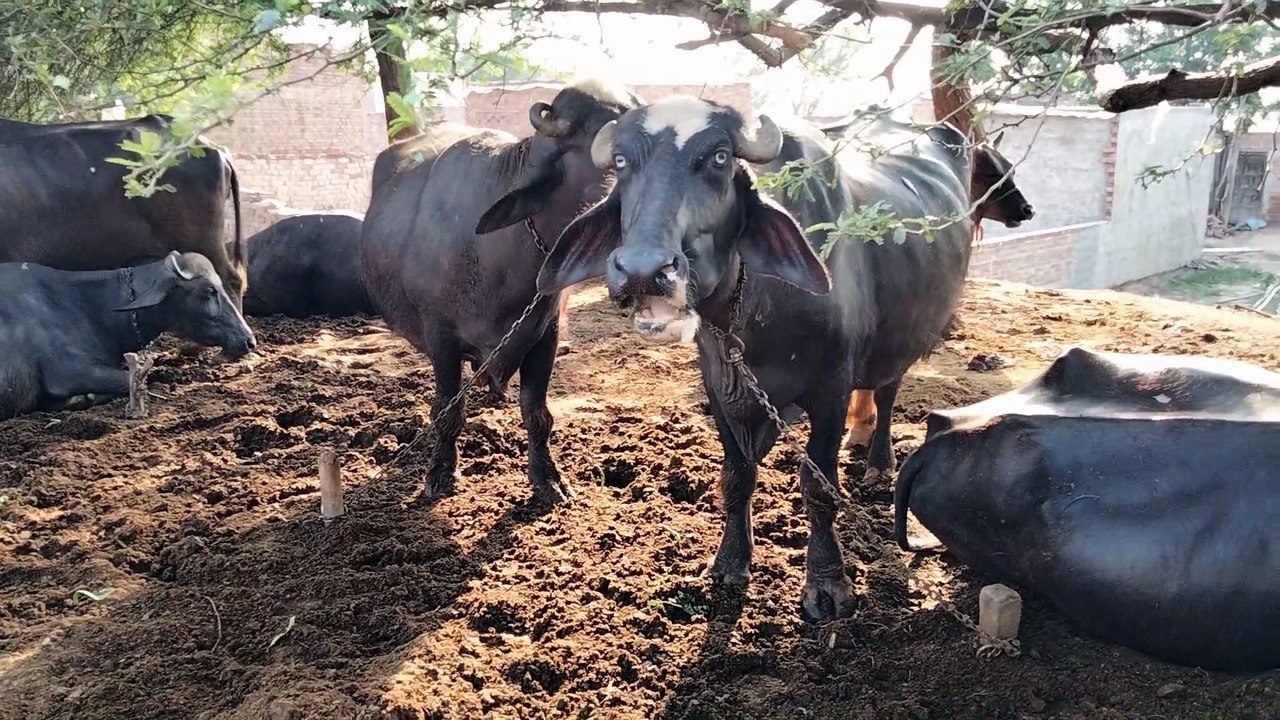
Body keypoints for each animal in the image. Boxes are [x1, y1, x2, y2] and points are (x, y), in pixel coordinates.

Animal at [361, 78, 642, 505]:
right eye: (615, 154)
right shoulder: (441, 338)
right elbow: (447, 410)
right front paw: (440, 473)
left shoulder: (545, 335)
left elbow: (536, 412)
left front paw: (547, 478)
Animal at [534, 96, 976, 620]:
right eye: (621, 161)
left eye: (720, 158)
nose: (643, 270)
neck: (752, 313)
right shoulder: (720, 386)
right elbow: (738, 474)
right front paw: (730, 561)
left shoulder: (830, 389)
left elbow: (818, 486)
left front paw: (827, 583)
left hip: (903, 339)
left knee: (886, 392)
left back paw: (879, 461)